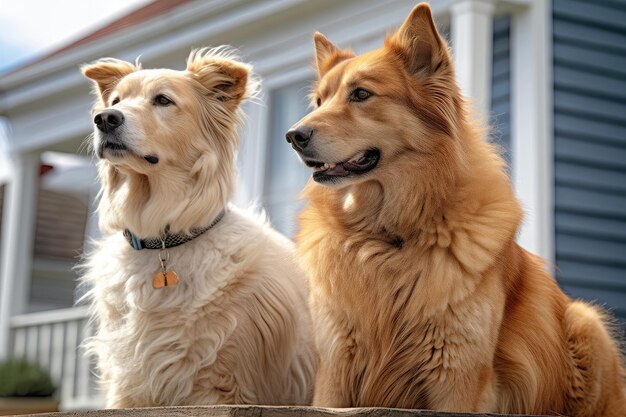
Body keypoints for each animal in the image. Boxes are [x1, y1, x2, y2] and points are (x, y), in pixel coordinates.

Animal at [80, 48, 314, 406]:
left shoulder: (219, 383)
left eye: (163, 100)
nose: (105, 118)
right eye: (117, 100)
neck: (164, 240)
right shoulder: (128, 384)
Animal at [286, 2, 624, 412]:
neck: (388, 237)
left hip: (587, 322)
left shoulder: (458, 377)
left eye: (361, 94)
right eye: (319, 101)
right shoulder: (334, 371)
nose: (293, 136)